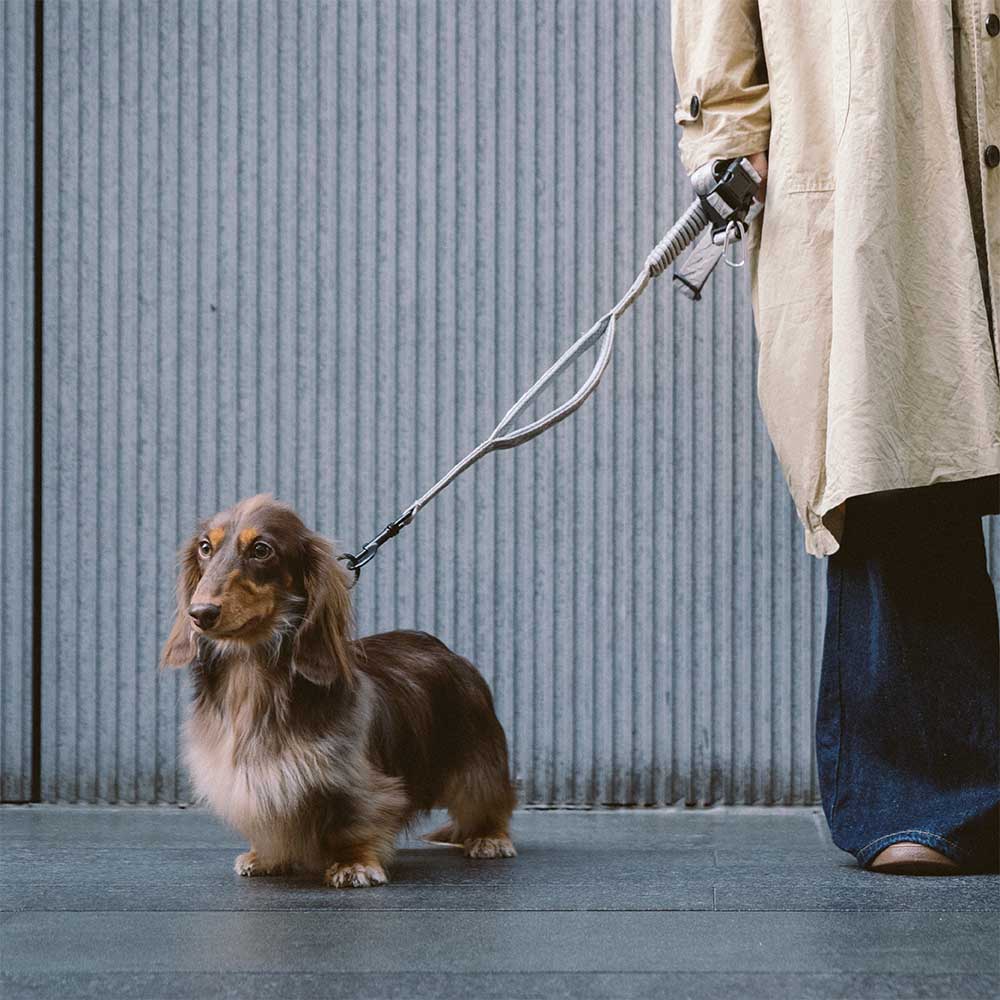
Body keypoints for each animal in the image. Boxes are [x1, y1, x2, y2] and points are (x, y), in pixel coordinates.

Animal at [161, 496, 516, 888]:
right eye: (205, 547)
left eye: (261, 550)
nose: (200, 613)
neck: (251, 677)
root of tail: (447, 650)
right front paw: (265, 856)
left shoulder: (354, 780)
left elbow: (354, 822)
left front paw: (354, 864)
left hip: (477, 760)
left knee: (488, 800)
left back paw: (488, 837)